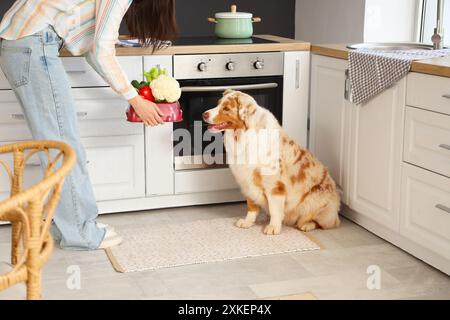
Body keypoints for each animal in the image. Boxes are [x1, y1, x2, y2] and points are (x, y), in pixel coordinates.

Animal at [202, 90, 340, 235]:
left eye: (226, 108)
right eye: (218, 104)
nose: (204, 114)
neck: (242, 135)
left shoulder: (274, 185)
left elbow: (275, 209)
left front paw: (273, 227)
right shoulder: (246, 180)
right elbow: (251, 206)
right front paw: (247, 222)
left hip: (315, 201)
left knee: (323, 223)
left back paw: (307, 225)